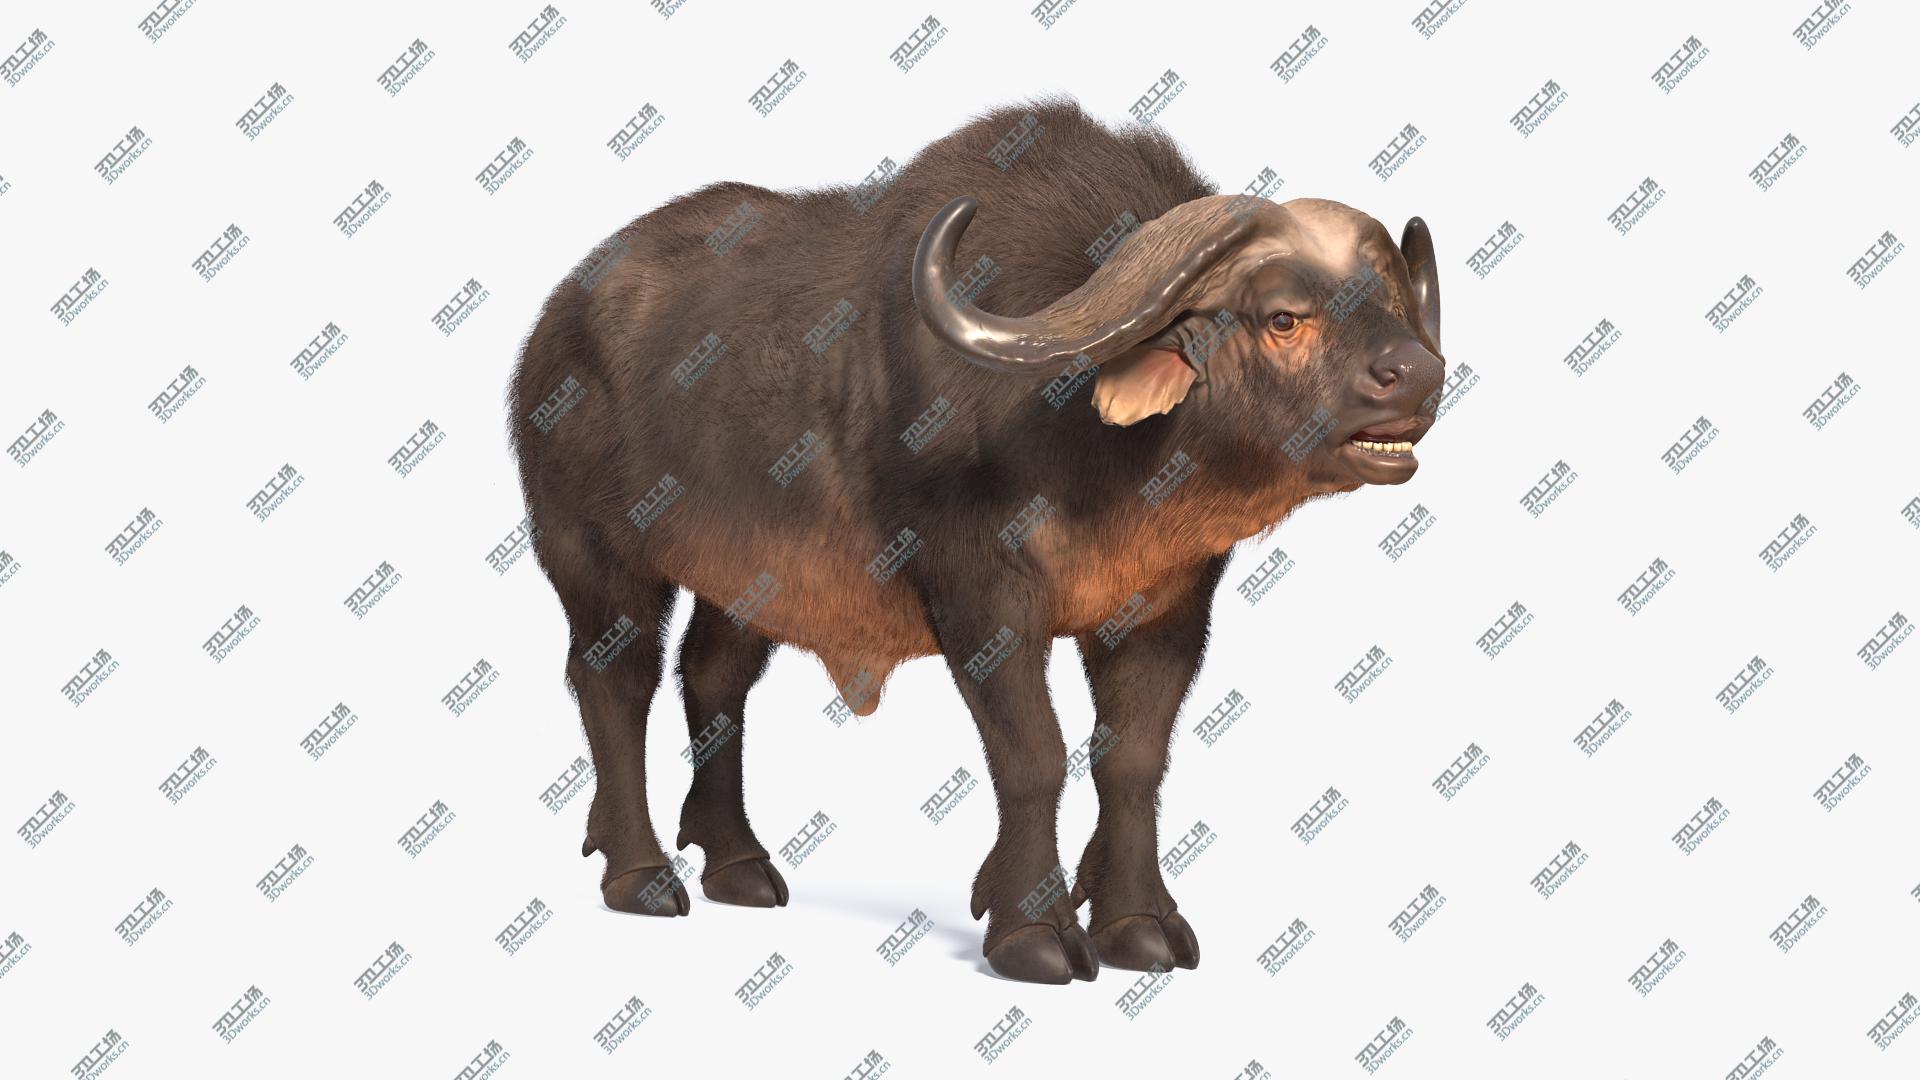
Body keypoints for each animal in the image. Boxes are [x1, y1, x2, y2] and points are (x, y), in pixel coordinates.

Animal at [507, 96, 1445, 984]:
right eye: (1284, 317)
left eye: (1392, 301)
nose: (1420, 375)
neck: (1089, 441)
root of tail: (557, 321)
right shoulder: (981, 600)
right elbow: (1035, 756)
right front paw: (1034, 933)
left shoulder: (1169, 611)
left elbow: (1133, 761)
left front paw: (1137, 922)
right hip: (592, 554)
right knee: (615, 680)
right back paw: (641, 876)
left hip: (752, 578)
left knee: (712, 678)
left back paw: (738, 864)